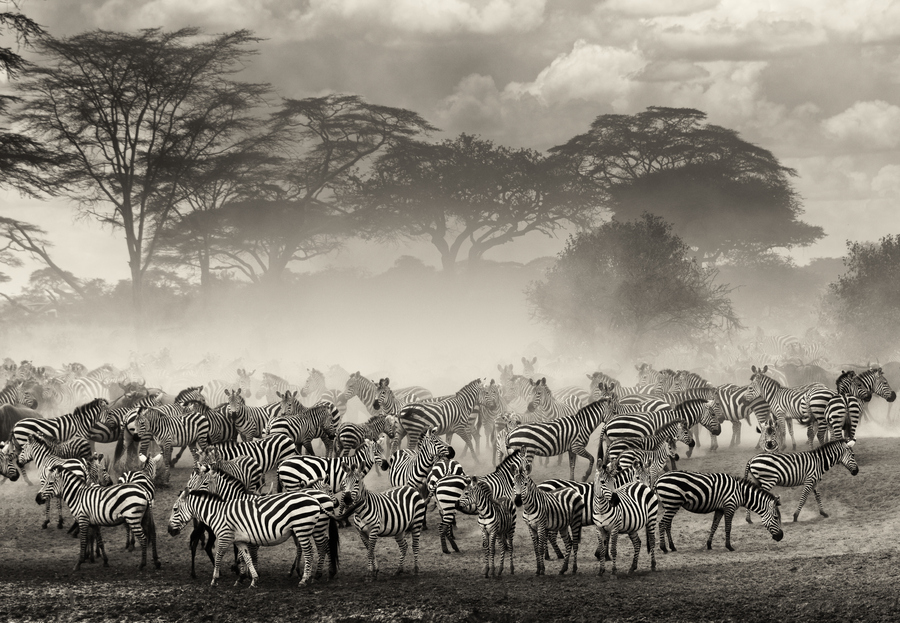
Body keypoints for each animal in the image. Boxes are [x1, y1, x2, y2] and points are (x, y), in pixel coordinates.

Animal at [166, 488, 333, 587]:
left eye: (175, 509)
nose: (169, 531)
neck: (217, 513)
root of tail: (314, 499)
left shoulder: (224, 536)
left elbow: (219, 556)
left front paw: (215, 579)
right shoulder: (240, 540)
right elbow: (247, 558)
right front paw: (253, 580)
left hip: (302, 528)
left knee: (310, 551)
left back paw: (305, 579)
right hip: (308, 528)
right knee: (320, 547)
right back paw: (313, 576)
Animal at [655, 471, 784, 552]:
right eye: (776, 517)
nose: (781, 536)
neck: (741, 493)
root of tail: (658, 479)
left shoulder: (720, 509)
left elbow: (714, 526)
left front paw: (709, 545)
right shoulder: (729, 507)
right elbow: (728, 528)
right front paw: (729, 547)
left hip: (672, 505)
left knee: (667, 524)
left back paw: (672, 547)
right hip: (672, 503)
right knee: (662, 524)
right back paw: (663, 548)